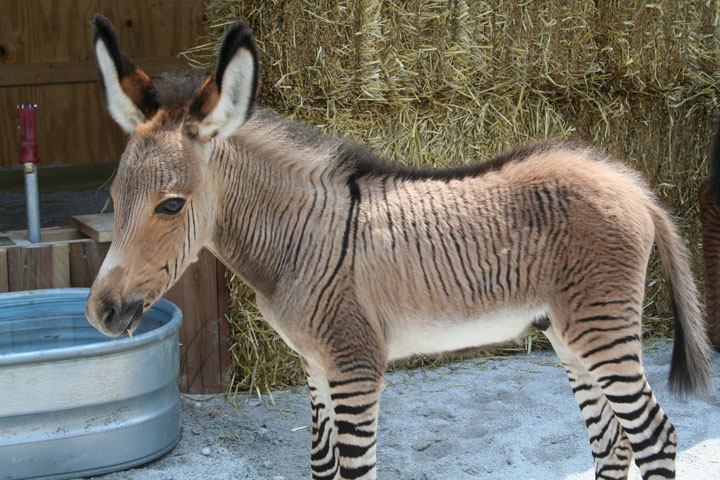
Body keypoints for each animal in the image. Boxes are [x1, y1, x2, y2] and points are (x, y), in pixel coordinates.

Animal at [84, 15, 712, 480]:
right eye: (114, 196)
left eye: (171, 206)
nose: (99, 312)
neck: (297, 240)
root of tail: (630, 182)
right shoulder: (316, 365)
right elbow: (321, 467)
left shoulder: (356, 364)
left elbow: (354, 471)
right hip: (568, 332)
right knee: (613, 443)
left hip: (601, 327)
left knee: (654, 437)